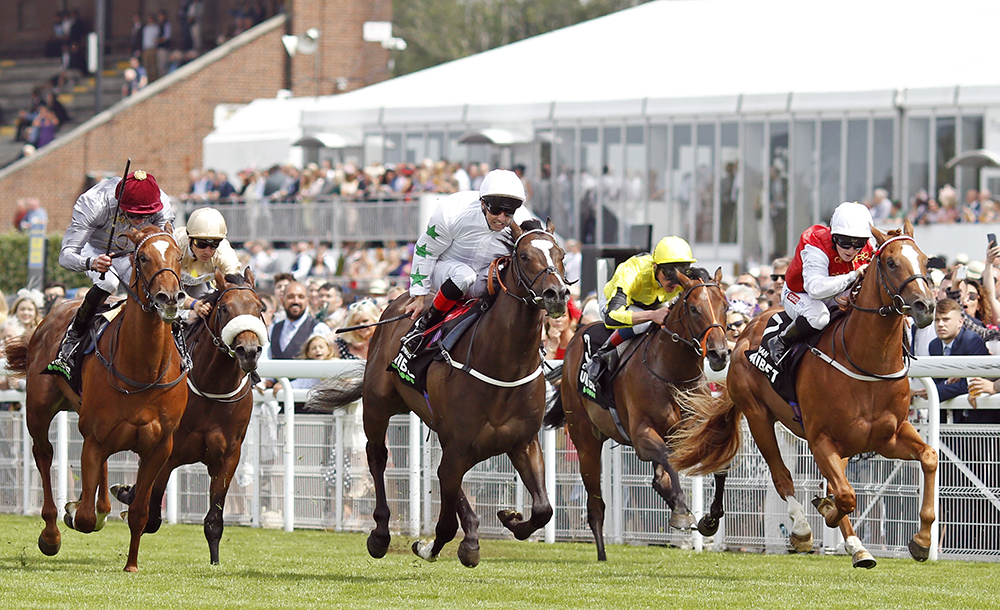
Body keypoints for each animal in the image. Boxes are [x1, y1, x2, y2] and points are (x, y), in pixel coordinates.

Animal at [3, 223, 187, 568]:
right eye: (142, 257)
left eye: (179, 256)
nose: (169, 297)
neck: (143, 371)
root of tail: (53, 311)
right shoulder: (95, 436)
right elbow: (85, 518)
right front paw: (73, 512)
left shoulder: (159, 447)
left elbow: (139, 513)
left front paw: (131, 565)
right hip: (39, 408)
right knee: (44, 453)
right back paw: (51, 533)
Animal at [110, 268, 266, 564]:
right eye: (225, 308)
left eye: (260, 308)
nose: (249, 352)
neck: (212, 387)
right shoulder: (168, 453)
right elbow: (152, 516)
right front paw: (129, 496)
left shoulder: (228, 458)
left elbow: (214, 520)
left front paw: (215, 562)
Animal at [304, 218, 572, 564]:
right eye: (524, 256)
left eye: (560, 253)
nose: (557, 293)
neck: (503, 364)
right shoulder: (459, 444)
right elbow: (445, 523)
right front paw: (431, 546)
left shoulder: (522, 442)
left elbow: (543, 509)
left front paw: (509, 518)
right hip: (378, 405)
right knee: (378, 457)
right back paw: (380, 535)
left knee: (443, 476)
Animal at [544, 264, 732, 560]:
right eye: (694, 309)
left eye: (725, 305)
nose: (719, 354)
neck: (672, 372)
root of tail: (574, 341)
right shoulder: (642, 435)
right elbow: (668, 460)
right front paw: (682, 513)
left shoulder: (694, 430)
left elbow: (719, 466)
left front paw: (710, 519)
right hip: (585, 442)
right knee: (595, 505)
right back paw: (602, 554)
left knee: (658, 479)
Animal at [672, 221, 936, 568]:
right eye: (890, 262)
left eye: (925, 260)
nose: (925, 306)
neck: (866, 363)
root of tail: (744, 334)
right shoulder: (820, 438)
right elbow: (845, 496)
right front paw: (821, 514)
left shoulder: (888, 437)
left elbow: (928, 458)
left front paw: (921, 540)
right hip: (758, 415)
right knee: (781, 475)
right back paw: (800, 528)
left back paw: (858, 547)